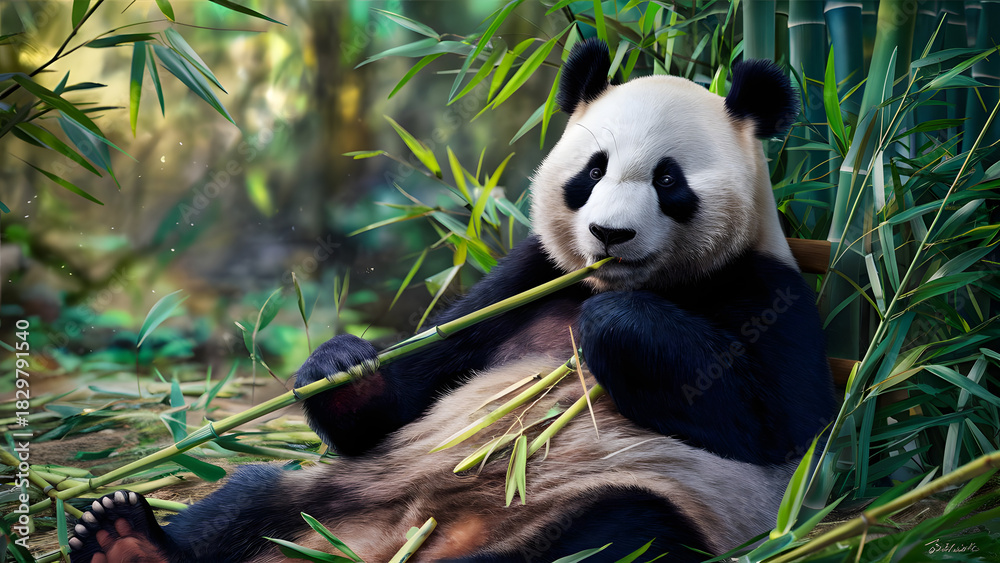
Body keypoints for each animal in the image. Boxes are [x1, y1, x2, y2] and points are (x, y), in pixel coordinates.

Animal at [69, 38, 836, 563]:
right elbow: (414, 385)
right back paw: (124, 538)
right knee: (257, 493)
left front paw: (612, 326)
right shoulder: (523, 276)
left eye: (668, 180)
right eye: (593, 172)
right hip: (357, 485)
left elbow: (780, 425)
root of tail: (406, 536)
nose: (610, 234)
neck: (615, 282)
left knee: (610, 533)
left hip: (629, 500)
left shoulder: (771, 289)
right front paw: (341, 367)